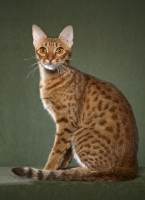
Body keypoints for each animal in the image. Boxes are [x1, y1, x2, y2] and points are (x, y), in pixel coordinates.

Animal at [11, 24, 138, 180]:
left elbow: (57, 150)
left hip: (80, 133)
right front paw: (62, 165)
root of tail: (130, 166)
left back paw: (77, 171)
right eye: (43, 50)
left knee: (98, 172)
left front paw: (48, 169)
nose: (50, 59)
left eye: (59, 50)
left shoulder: (67, 122)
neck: (50, 80)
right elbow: (67, 149)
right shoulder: (68, 125)